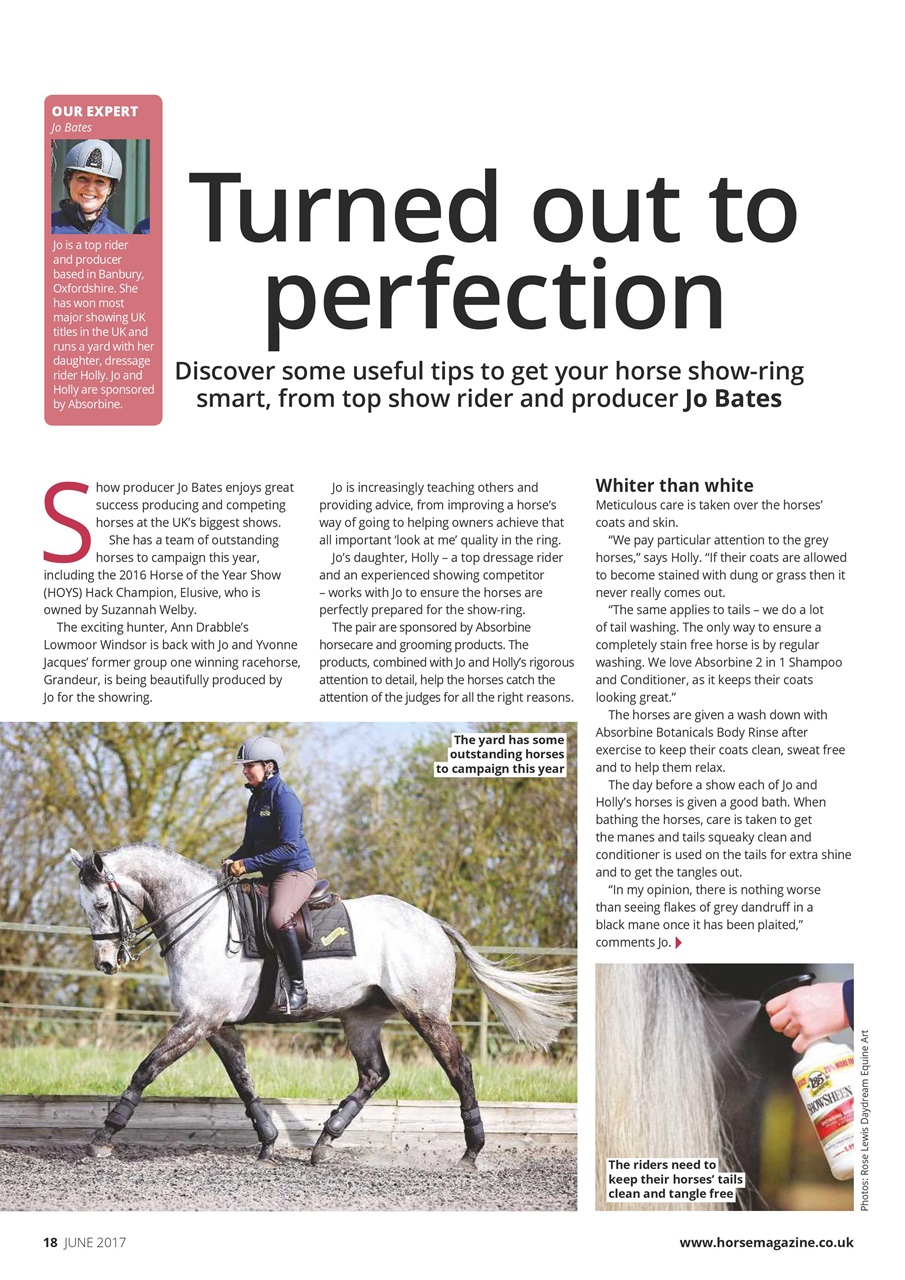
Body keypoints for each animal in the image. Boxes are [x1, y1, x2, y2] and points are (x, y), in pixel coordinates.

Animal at [70, 845, 575, 1167]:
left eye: (101, 905)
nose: (106, 963)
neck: (202, 922)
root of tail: (431, 922)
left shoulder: (198, 1020)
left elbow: (146, 1069)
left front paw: (103, 1137)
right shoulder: (213, 1024)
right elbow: (242, 1080)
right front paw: (268, 1142)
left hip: (425, 1012)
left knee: (458, 1068)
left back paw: (471, 1151)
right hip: (360, 1017)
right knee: (374, 1074)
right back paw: (323, 1143)